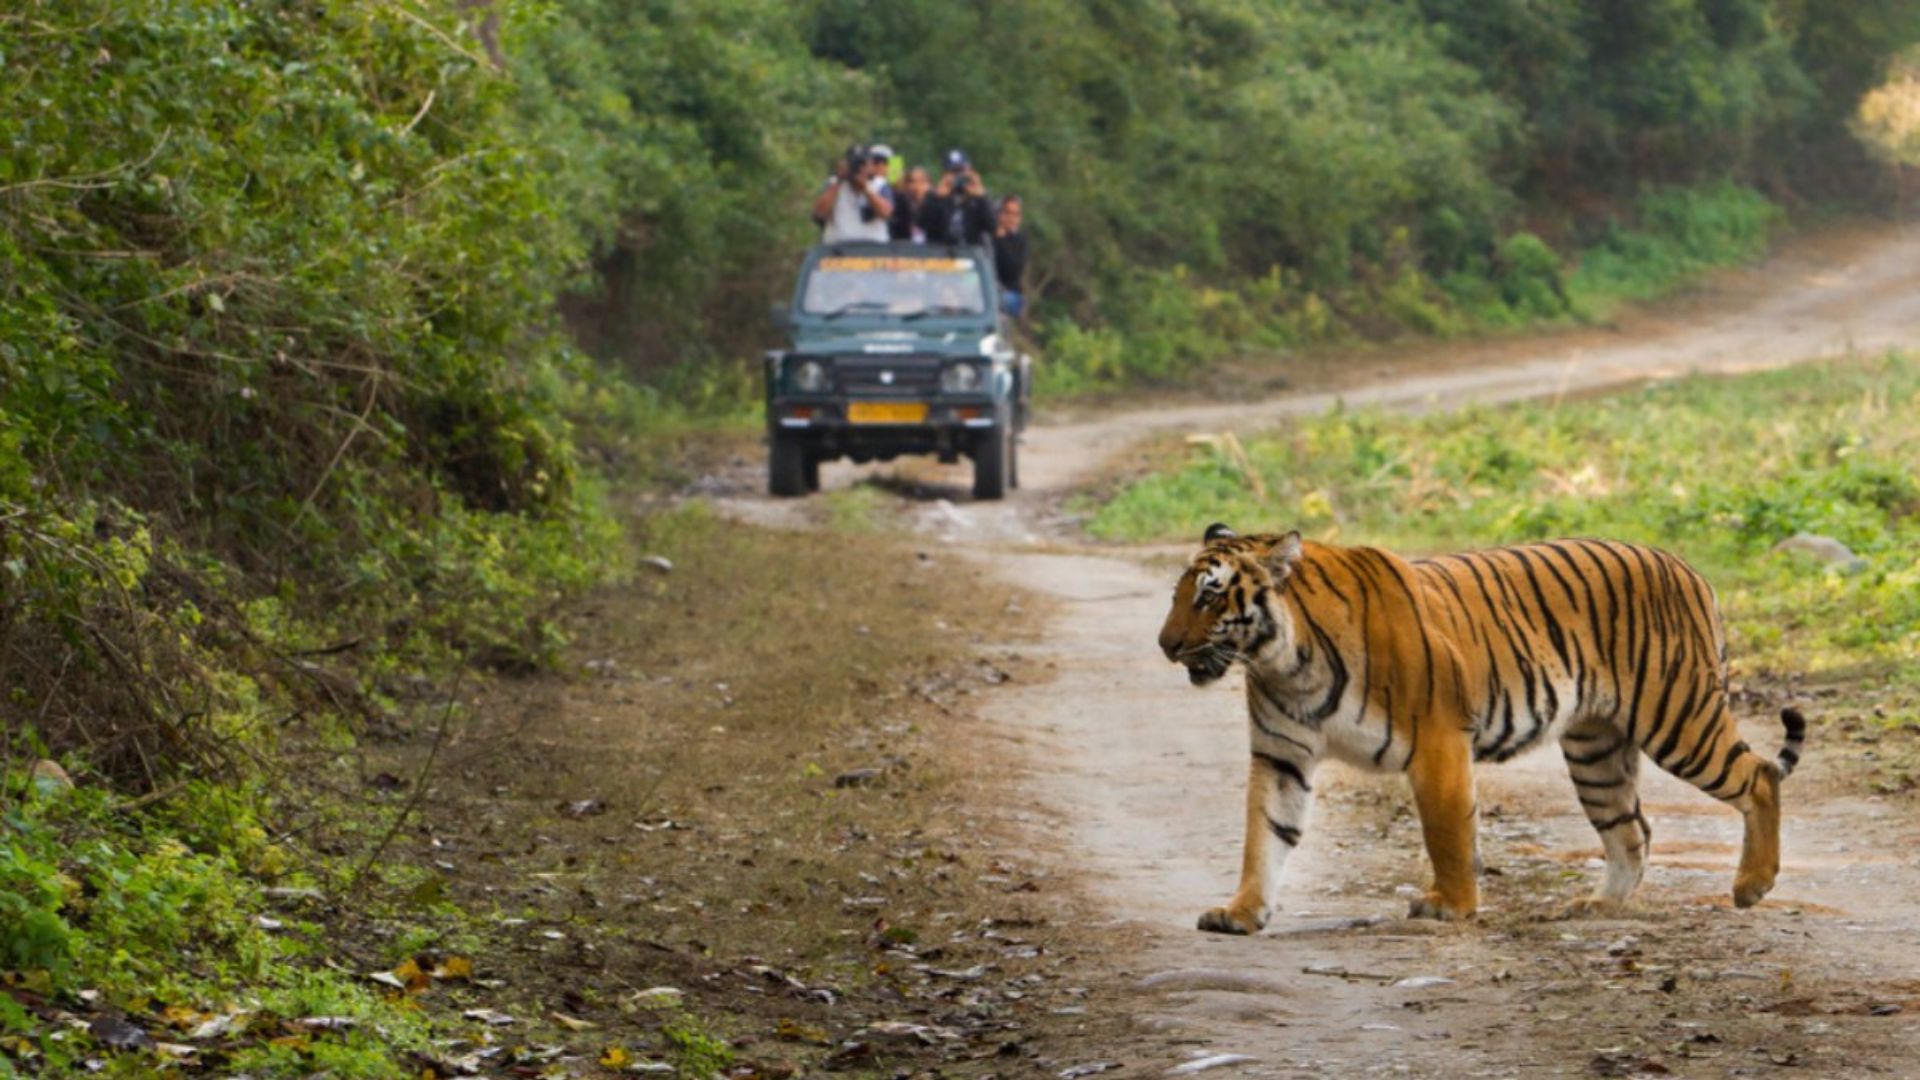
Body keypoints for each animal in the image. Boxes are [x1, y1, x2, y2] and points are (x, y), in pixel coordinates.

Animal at [1159, 518, 1804, 926]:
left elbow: (1446, 833)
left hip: (1677, 717)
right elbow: (1264, 835)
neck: (1283, 661)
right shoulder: (1281, 755)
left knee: (1759, 776)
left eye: (1211, 597)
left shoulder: (1438, 740)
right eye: (1178, 594)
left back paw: (1752, 884)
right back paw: (1601, 905)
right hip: (1596, 751)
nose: (1166, 645)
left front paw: (1451, 906)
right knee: (1633, 830)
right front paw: (1241, 912)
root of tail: (1687, 566)